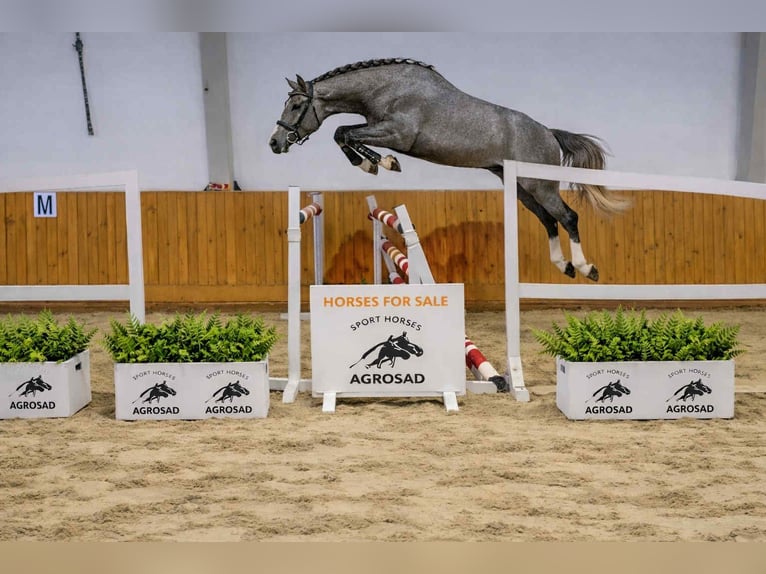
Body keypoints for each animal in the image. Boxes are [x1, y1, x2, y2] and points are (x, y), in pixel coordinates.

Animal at [269, 58, 629, 281]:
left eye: (297, 105)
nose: (275, 143)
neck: (385, 88)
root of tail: (548, 133)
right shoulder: (378, 128)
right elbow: (342, 133)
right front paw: (372, 164)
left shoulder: (397, 134)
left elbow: (344, 132)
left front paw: (382, 163)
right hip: (520, 188)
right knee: (549, 220)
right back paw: (563, 266)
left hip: (539, 184)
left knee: (568, 217)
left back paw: (586, 268)